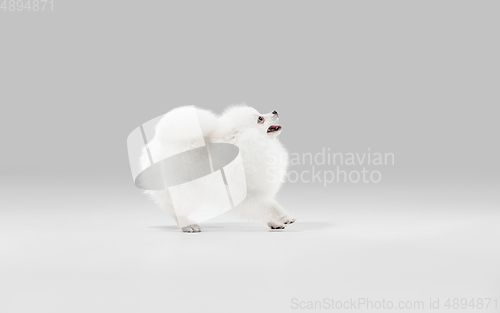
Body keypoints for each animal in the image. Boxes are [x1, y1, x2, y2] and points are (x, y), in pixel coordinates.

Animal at [141, 103, 294, 230]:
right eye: (260, 118)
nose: (274, 111)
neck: (249, 145)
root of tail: (159, 142)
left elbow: (265, 207)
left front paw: (274, 222)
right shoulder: (245, 195)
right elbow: (269, 206)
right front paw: (283, 217)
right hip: (183, 188)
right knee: (177, 209)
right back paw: (188, 225)